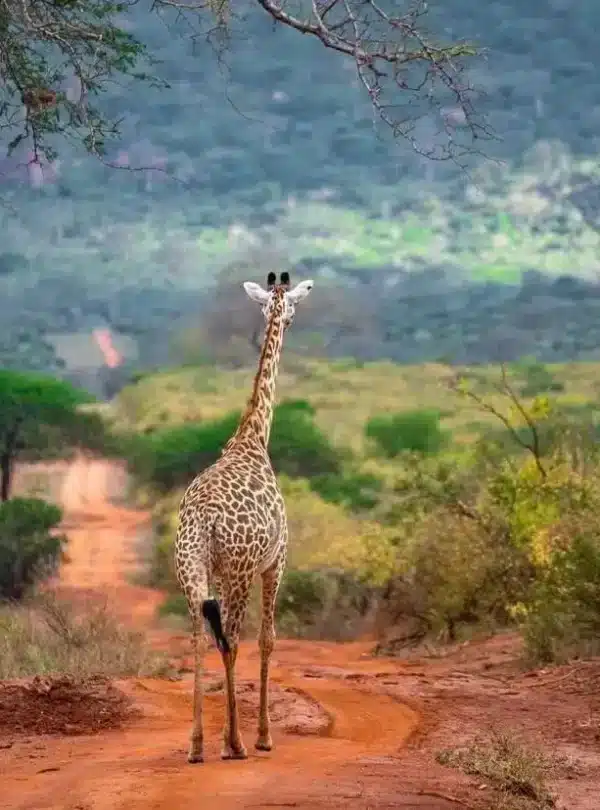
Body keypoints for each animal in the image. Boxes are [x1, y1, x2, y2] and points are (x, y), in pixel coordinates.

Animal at [175, 270, 314, 764]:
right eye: (291, 308)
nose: (290, 321)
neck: (254, 438)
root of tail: (202, 519)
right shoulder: (277, 560)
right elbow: (268, 638)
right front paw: (263, 736)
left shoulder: (219, 570)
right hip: (238, 570)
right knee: (231, 637)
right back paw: (233, 743)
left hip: (191, 566)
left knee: (200, 633)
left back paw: (197, 744)